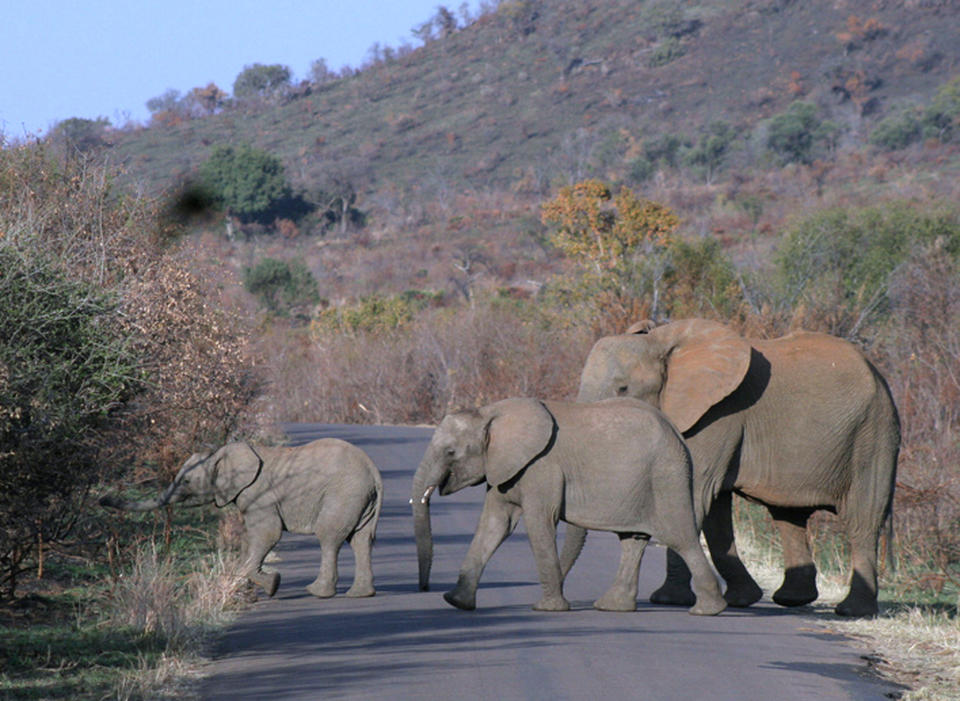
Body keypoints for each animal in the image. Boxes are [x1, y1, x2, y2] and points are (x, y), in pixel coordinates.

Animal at [99, 438, 380, 596]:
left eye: (187, 481)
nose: (103, 499)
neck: (220, 454)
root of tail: (373, 470)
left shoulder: (259, 495)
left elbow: (267, 534)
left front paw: (273, 585)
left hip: (343, 494)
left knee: (329, 538)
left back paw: (317, 592)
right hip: (361, 499)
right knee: (361, 540)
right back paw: (360, 594)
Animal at [410, 396, 728, 616]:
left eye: (450, 452)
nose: (424, 588)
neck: (489, 413)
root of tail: (676, 433)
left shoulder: (541, 468)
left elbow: (538, 523)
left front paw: (547, 609)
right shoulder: (505, 469)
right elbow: (494, 525)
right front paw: (456, 602)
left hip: (666, 477)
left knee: (680, 537)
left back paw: (709, 610)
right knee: (633, 540)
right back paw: (611, 606)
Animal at [576, 320, 900, 616]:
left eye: (622, 388)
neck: (659, 341)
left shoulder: (717, 415)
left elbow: (692, 496)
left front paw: (667, 601)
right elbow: (713, 511)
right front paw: (740, 600)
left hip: (872, 437)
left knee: (862, 521)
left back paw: (852, 611)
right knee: (788, 517)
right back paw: (792, 599)